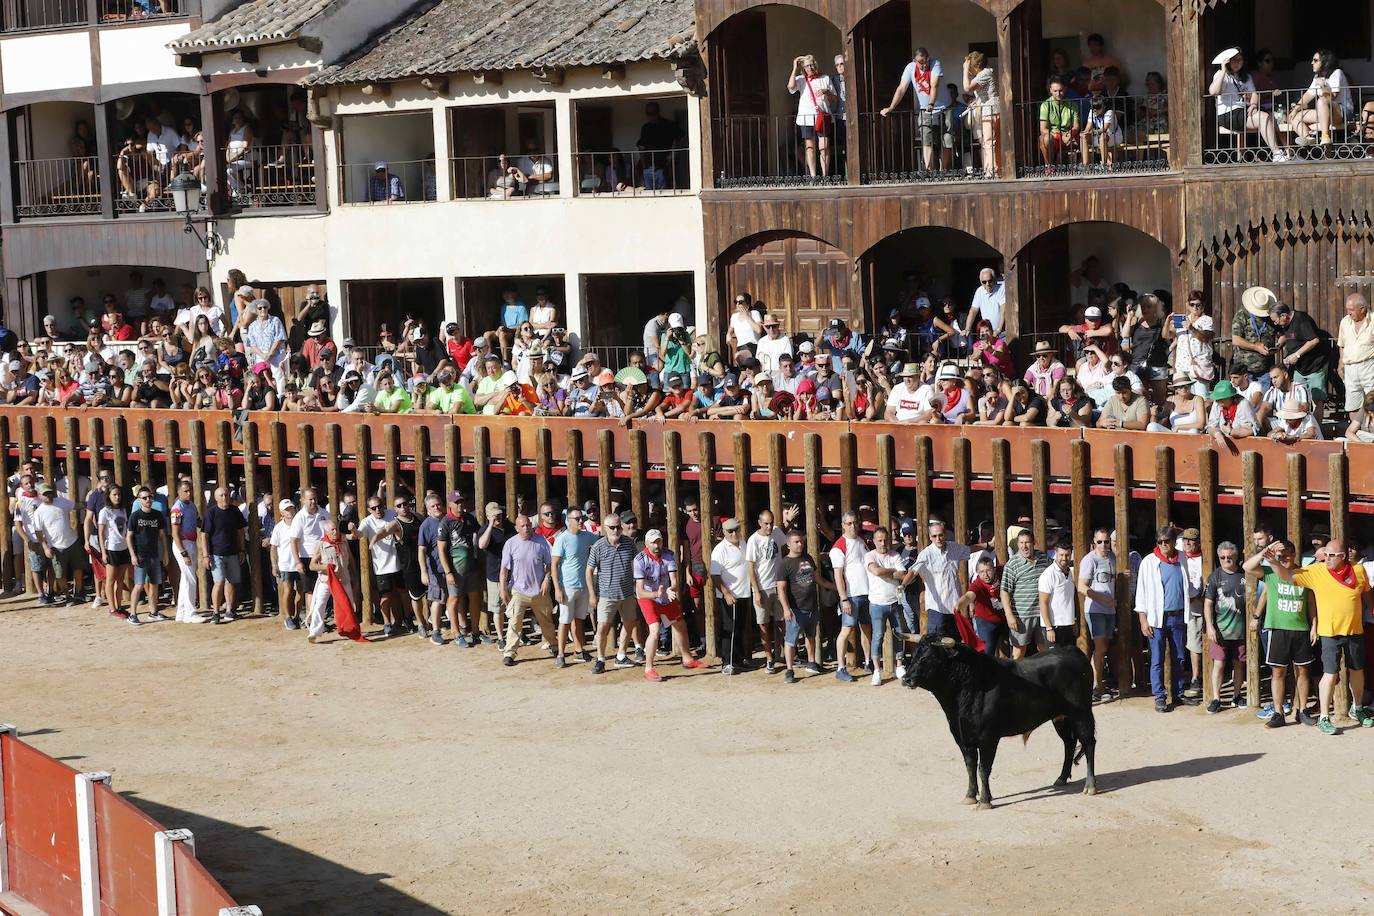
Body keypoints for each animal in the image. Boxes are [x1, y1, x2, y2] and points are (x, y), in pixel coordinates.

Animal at [895, 634, 1099, 807]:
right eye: (914, 655)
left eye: (927, 658)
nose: (906, 679)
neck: (969, 687)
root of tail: (1075, 651)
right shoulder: (963, 738)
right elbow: (970, 767)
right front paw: (970, 796)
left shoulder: (988, 739)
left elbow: (983, 768)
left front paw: (985, 801)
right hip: (1061, 717)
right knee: (1069, 743)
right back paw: (1061, 778)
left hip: (1081, 713)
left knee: (1088, 742)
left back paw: (1090, 786)